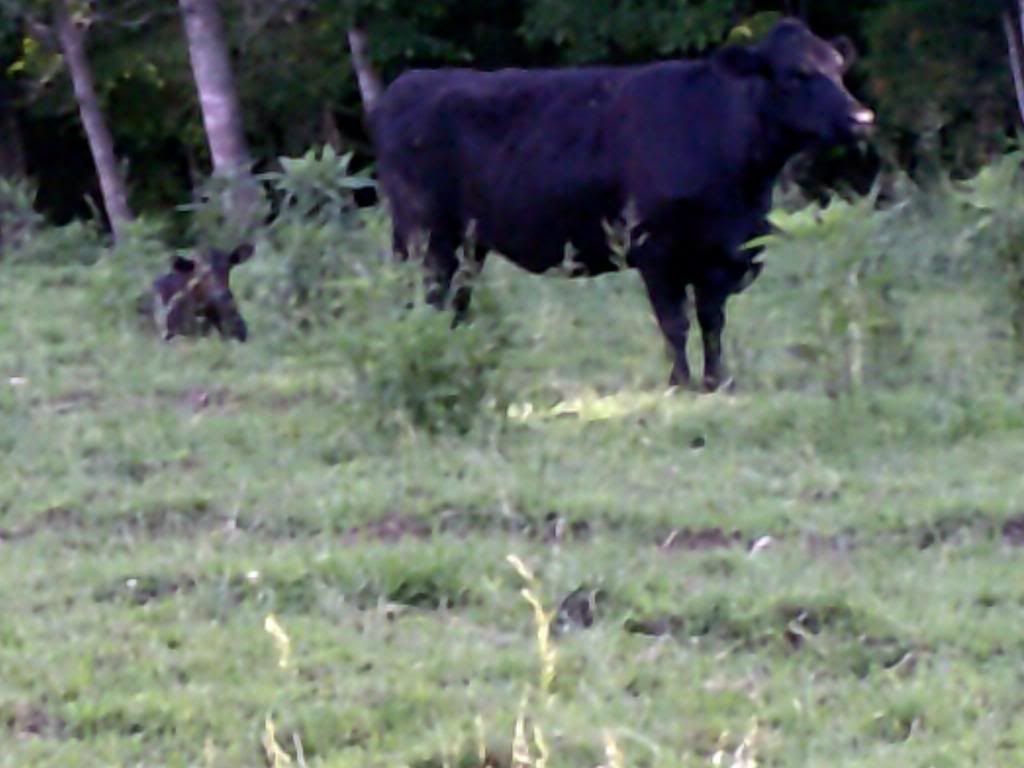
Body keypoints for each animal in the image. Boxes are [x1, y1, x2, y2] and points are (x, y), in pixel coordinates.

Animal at [357, 18, 874, 390]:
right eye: (796, 75)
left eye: (838, 68)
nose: (862, 117)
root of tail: (405, 87)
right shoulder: (655, 249)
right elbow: (675, 323)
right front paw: (680, 383)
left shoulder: (723, 254)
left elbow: (712, 322)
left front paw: (718, 381)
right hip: (422, 235)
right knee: (423, 296)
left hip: (467, 243)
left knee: (456, 301)